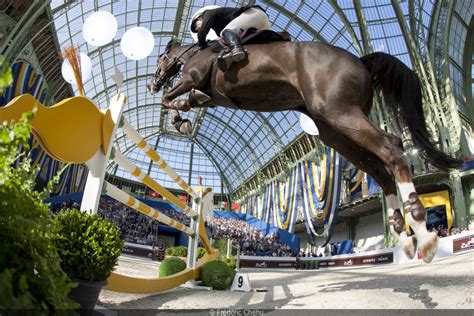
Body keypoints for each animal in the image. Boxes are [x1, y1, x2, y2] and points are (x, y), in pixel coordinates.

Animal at [146, 38, 462, 262]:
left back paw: (422, 232)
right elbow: (181, 100)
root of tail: (361, 60)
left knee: (391, 147)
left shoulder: (192, 78)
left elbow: (170, 98)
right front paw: (182, 119)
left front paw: (180, 120)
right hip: (334, 132)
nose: (152, 83)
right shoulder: (206, 94)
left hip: (338, 112)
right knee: (379, 169)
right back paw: (405, 237)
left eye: (161, 59)